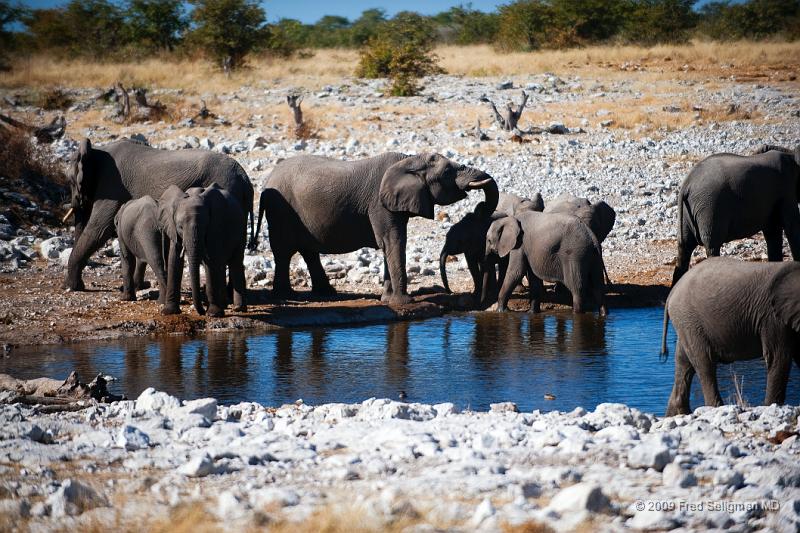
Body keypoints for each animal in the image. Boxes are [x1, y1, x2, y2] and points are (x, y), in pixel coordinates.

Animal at [63, 137, 255, 290]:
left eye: (70, 181)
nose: (76, 202)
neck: (96, 151)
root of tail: (245, 179)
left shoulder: (111, 185)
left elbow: (98, 230)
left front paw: (73, 287)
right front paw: (141, 286)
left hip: (227, 188)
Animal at [159, 183, 247, 316]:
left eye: (205, 226)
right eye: (180, 227)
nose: (202, 312)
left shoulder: (214, 227)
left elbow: (211, 261)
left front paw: (213, 314)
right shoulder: (173, 229)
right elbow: (174, 260)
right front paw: (169, 312)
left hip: (241, 229)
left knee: (235, 263)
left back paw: (238, 308)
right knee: (222, 265)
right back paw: (225, 305)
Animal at [256, 154, 496, 304]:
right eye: (448, 172)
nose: (480, 207)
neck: (409, 159)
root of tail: (267, 180)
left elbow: (389, 244)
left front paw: (387, 300)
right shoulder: (379, 204)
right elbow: (393, 241)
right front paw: (404, 302)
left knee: (307, 251)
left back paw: (326, 293)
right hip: (281, 210)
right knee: (284, 251)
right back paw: (285, 295)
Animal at [664, 256, 800, 416]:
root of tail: (673, 291)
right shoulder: (773, 318)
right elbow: (779, 356)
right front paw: (770, 407)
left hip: (686, 322)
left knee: (683, 361)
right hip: (690, 320)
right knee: (705, 362)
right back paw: (715, 408)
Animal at [668, 143, 800, 284]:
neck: (790, 153)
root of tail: (686, 185)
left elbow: (773, 233)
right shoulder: (786, 190)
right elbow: (792, 227)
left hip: (687, 214)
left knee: (684, 248)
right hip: (709, 208)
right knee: (712, 246)